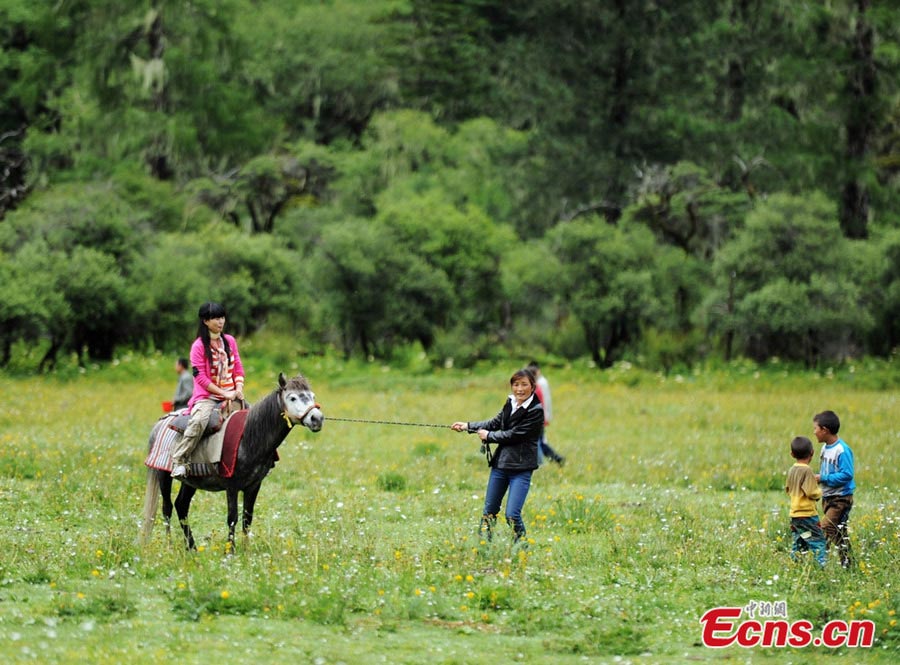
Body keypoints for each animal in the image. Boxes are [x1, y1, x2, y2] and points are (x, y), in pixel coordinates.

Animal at [141, 374, 324, 548]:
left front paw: (246, 550)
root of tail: (160, 423)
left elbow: (247, 519)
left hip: (191, 481)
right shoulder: (232, 485)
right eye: (292, 398)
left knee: (181, 506)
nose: (317, 419)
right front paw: (231, 550)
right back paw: (170, 546)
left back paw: (191, 548)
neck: (249, 438)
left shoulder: (254, 485)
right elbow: (232, 518)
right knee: (167, 509)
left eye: (312, 396)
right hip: (163, 475)